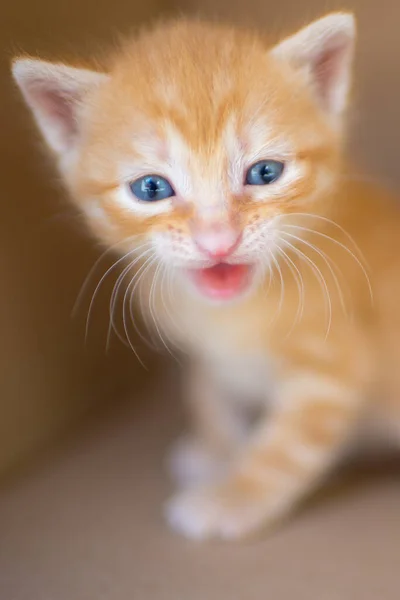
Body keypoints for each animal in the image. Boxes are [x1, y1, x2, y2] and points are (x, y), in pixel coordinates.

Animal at [11, 12, 400, 540]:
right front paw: (217, 454)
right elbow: (210, 395)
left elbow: (286, 447)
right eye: (151, 188)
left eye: (265, 173)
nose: (218, 240)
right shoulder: (206, 355)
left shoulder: (335, 367)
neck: (231, 316)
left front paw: (232, 497)